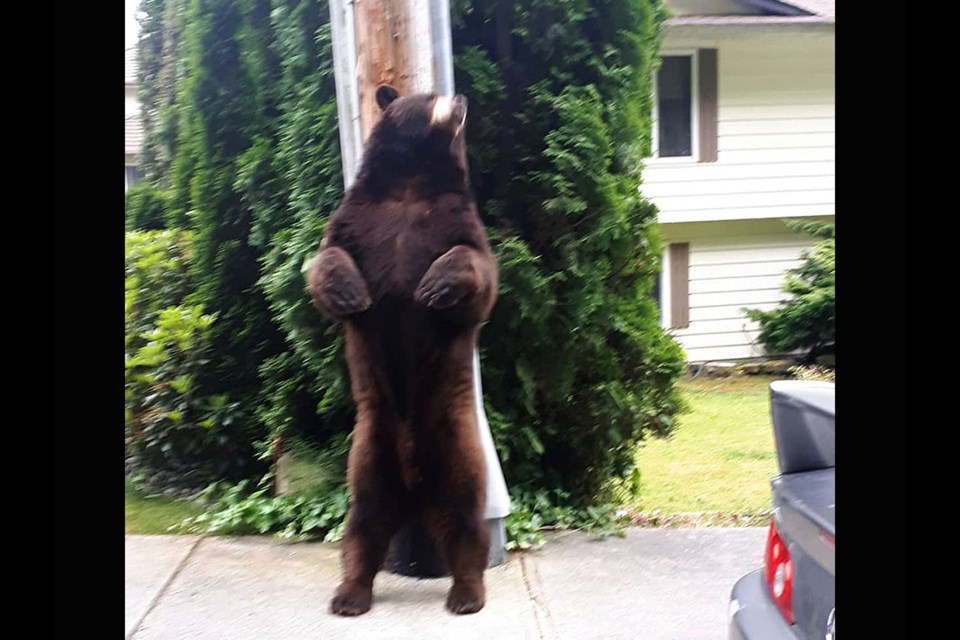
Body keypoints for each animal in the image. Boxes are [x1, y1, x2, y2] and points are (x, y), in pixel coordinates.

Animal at [308, 84, 498, 616]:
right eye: (430, 95)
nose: (461, 98)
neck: (413, 182)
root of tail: (414, 490)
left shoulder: (458, 221)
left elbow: (477, 268)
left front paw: (435, 285)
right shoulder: (356, 217)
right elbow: (327, 257)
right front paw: (350, 292)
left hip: (458, 447)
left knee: (465, 522)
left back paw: (466, 594)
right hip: (369, 455)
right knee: (362, 527)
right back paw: (349, 594)